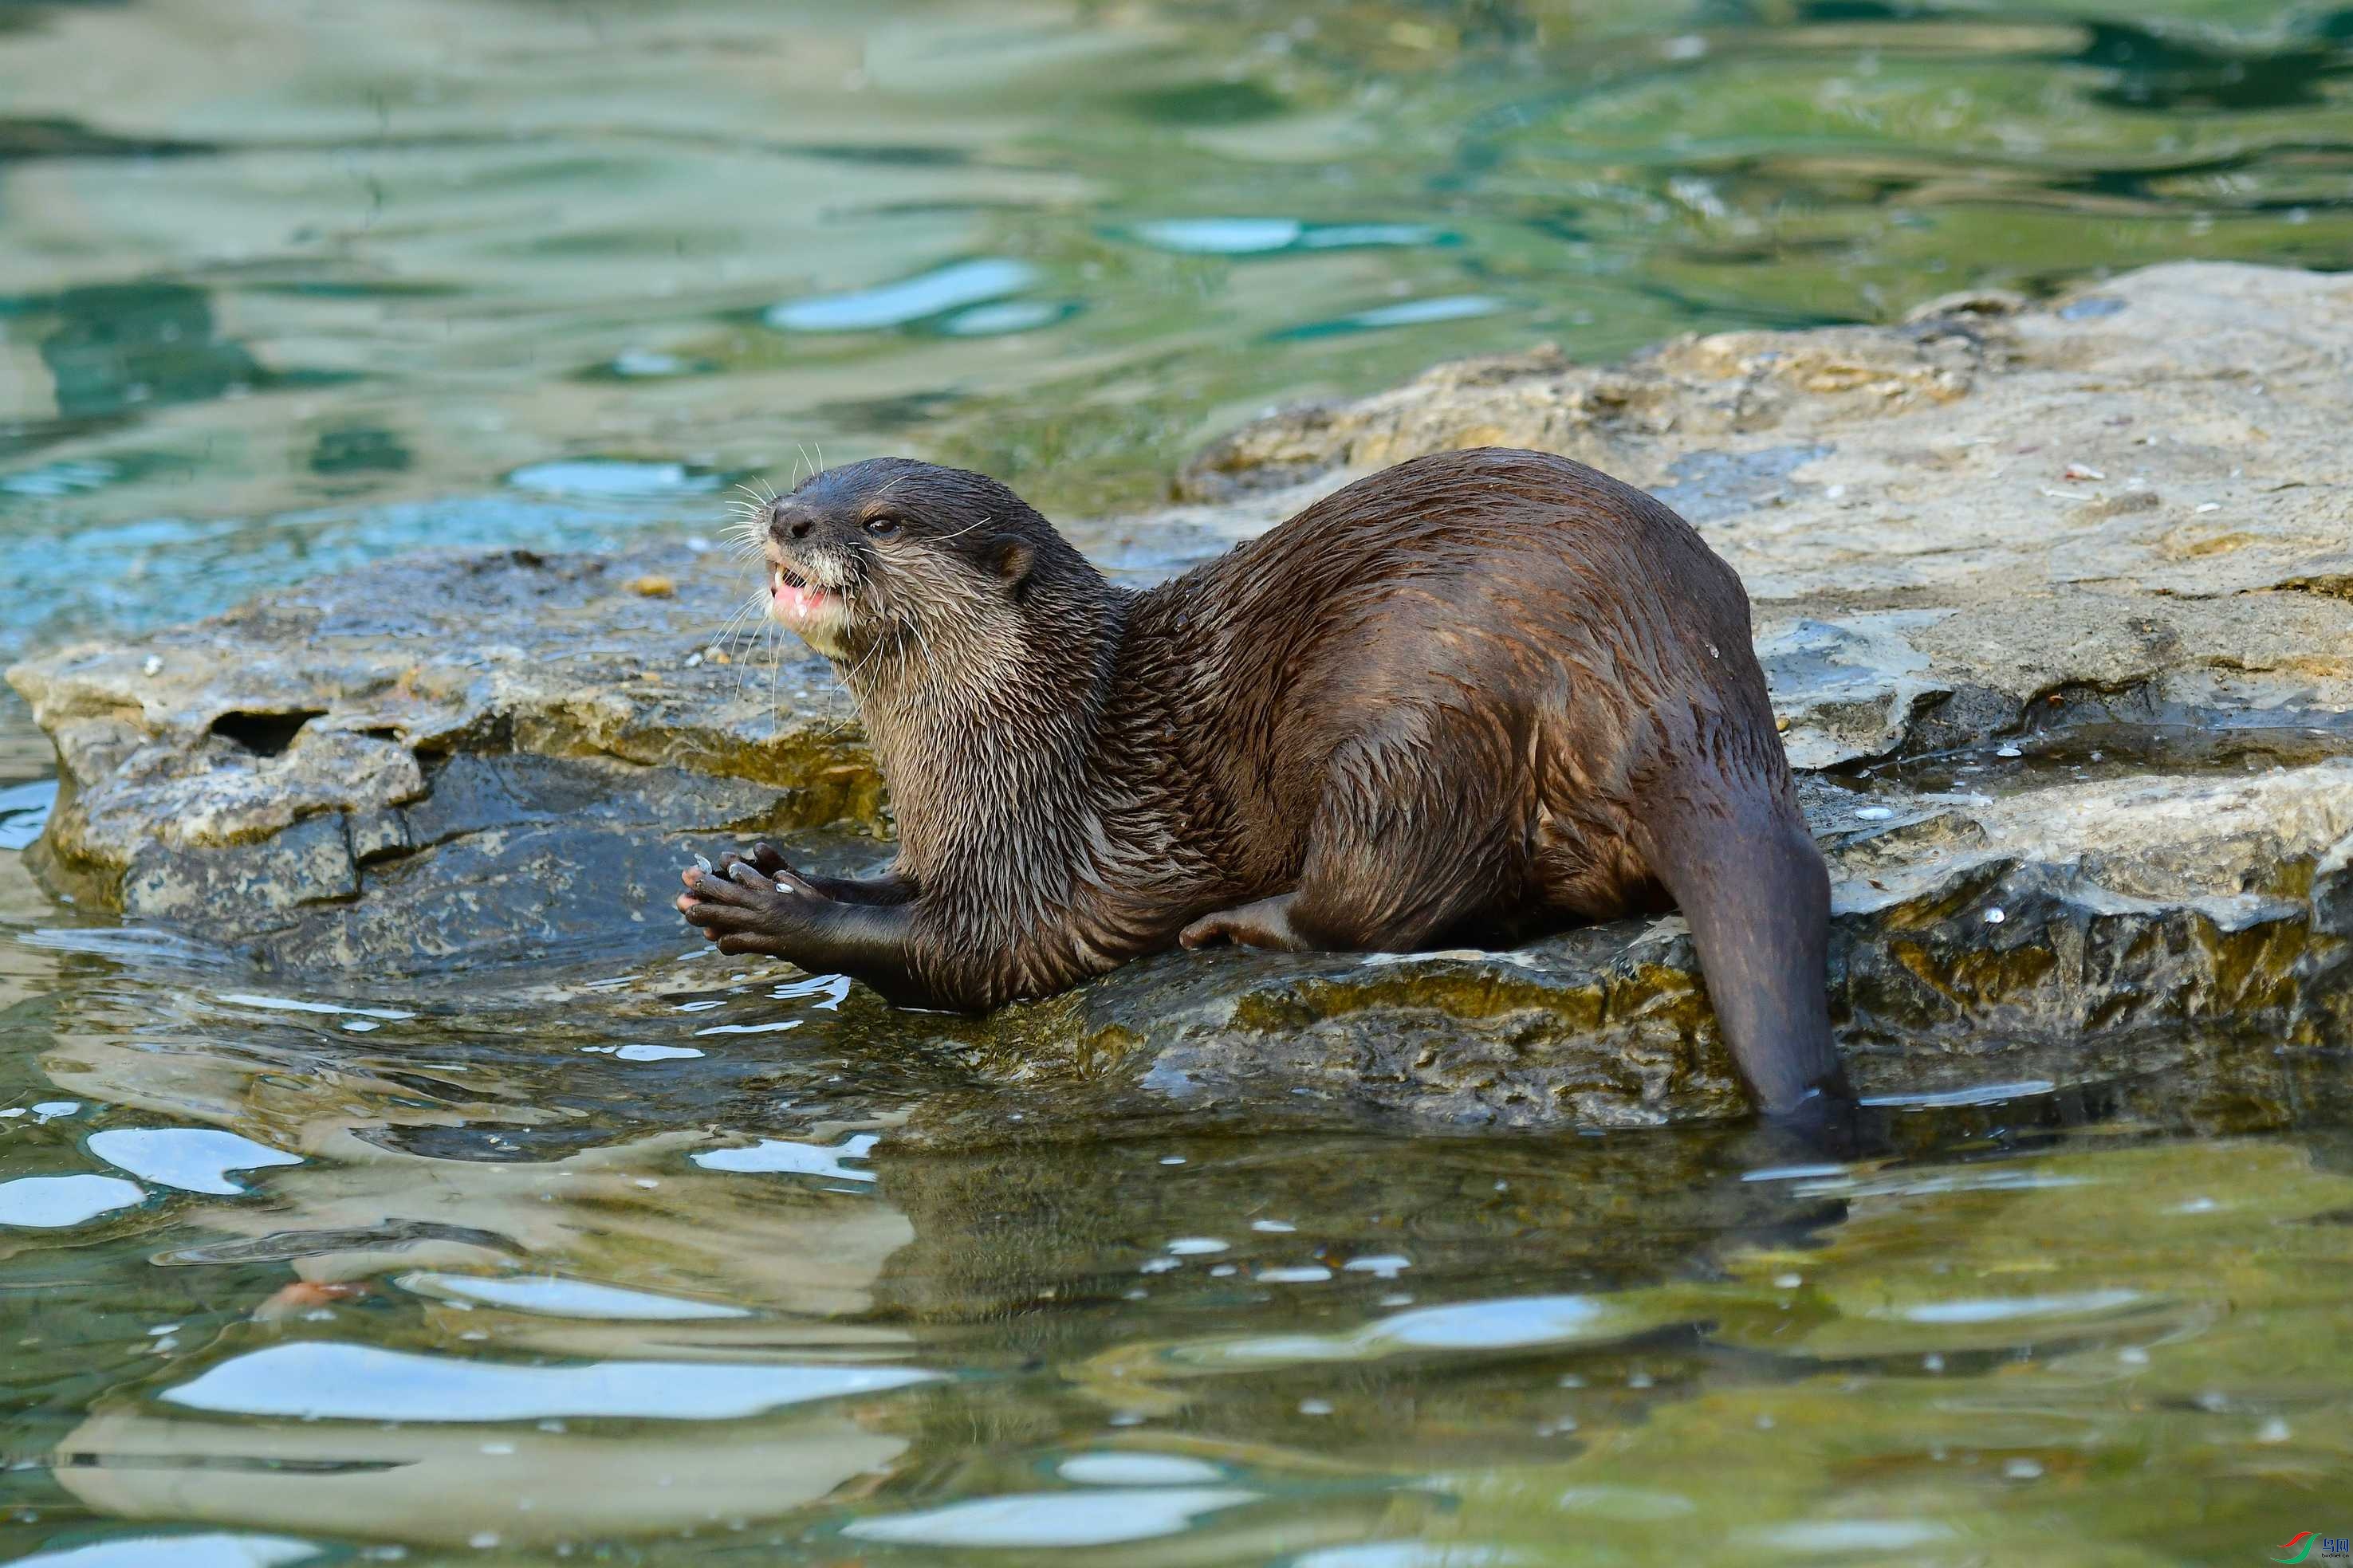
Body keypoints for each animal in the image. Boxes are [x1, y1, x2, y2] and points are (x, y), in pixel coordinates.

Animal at [677, 446, 1854, 1123]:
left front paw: (774, 910)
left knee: (1385, 898)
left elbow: (978, 948)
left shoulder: (1044, 852)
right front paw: (772, 866)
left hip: (1409, 727)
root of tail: (1668, 685)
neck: (1015, 727)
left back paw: (1239, 923)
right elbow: (898, 889)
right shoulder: (946, 837)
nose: (786, 520)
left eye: (878, 521)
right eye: (808, 487)